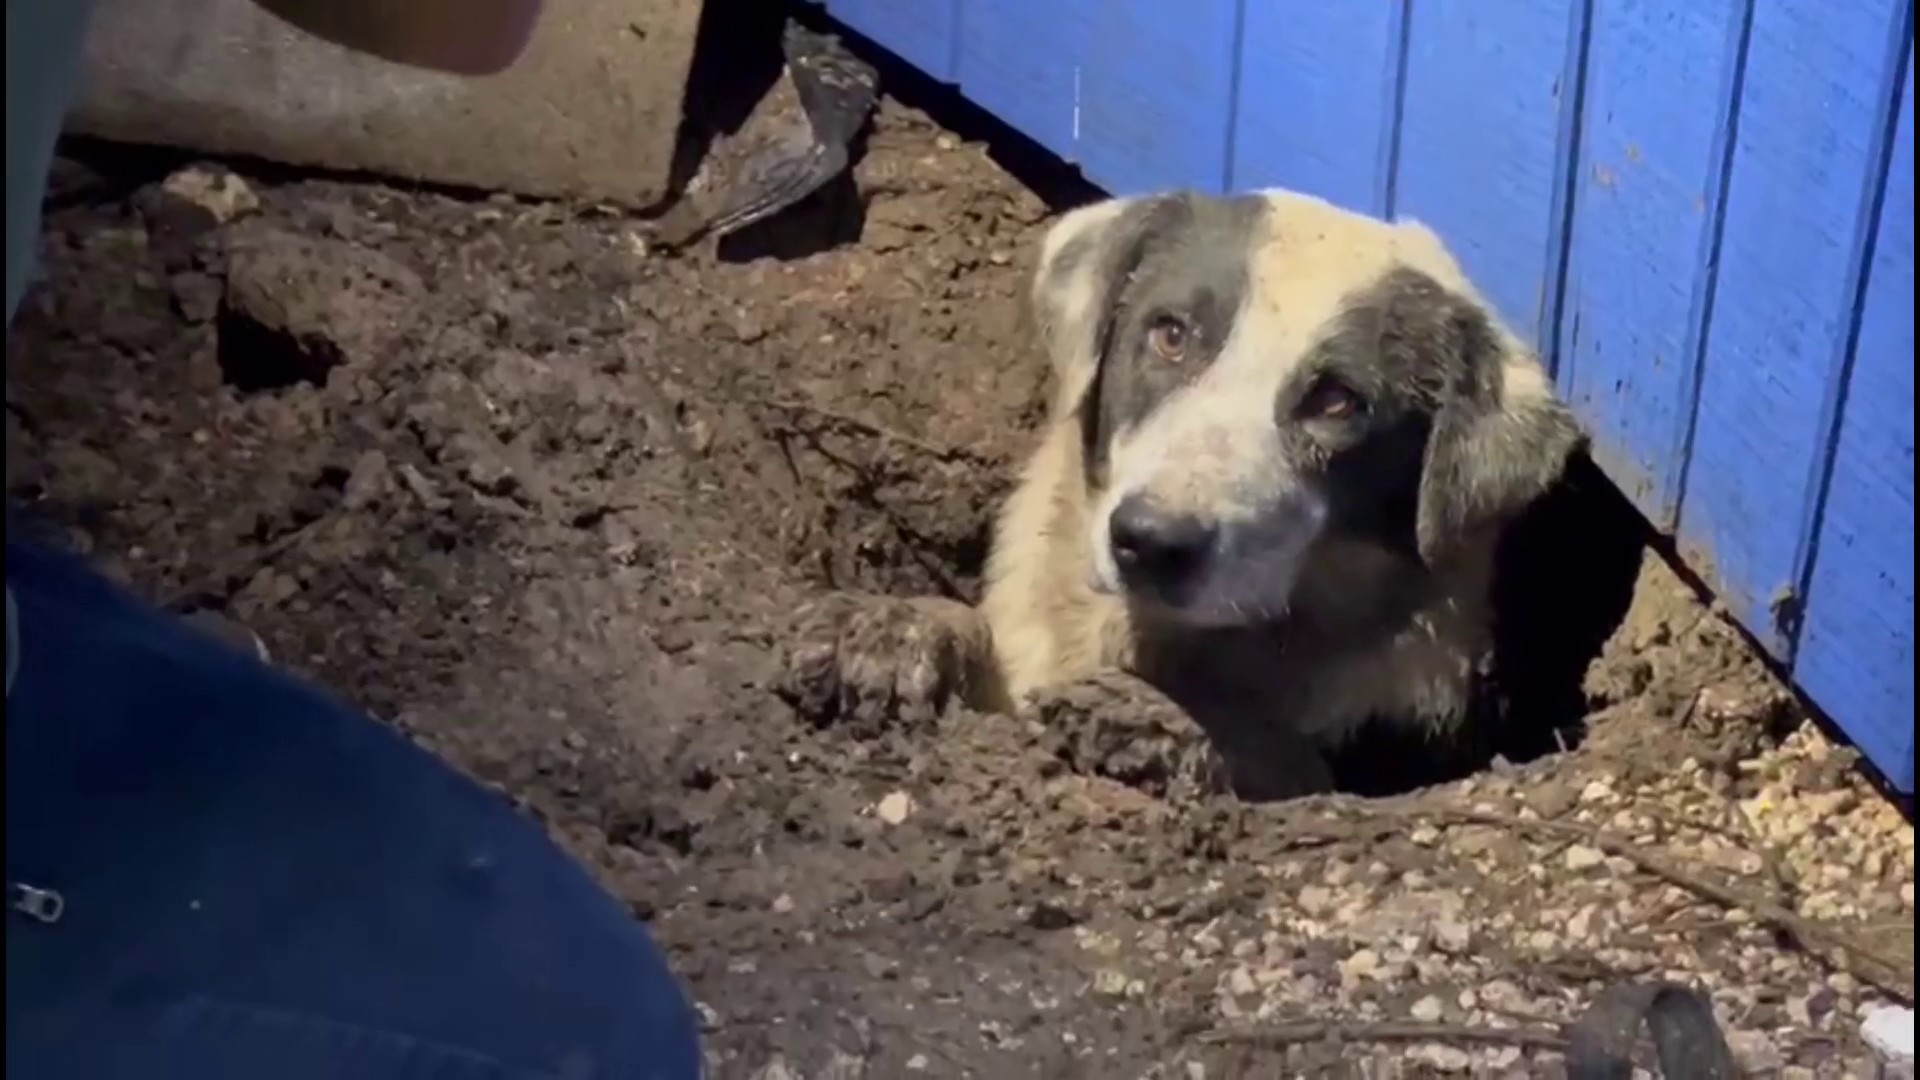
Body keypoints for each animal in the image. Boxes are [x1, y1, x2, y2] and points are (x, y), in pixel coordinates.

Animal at [787, 184, 1582, 795]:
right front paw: (896, 627)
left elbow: (1276, 749)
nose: (1150, 543)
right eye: (1169, 334)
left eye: (1337, 401)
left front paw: (1152, 718)